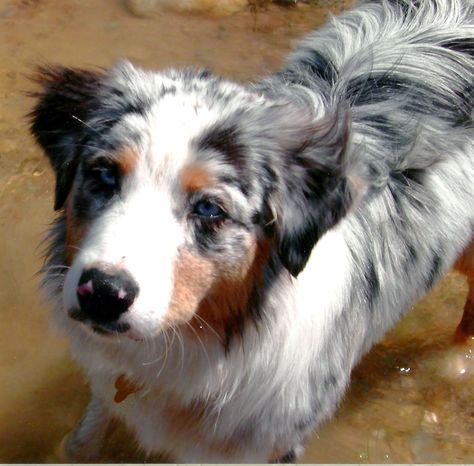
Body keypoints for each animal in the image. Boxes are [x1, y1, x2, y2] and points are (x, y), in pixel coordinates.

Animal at [27, 0, 472, 462]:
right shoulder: (109, 380)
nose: (102, 293)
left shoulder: (275, 440)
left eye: (210, 208)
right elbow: (84, 438)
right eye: (104, 174)